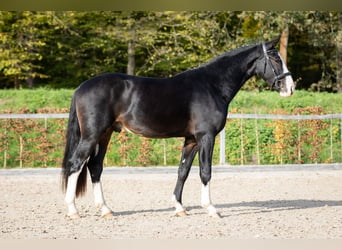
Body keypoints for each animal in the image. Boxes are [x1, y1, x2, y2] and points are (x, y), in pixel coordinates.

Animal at [60, 35, 294, 219]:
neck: (212, 85)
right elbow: (205, 172)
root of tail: (81, 88)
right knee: (75, 164)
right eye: (275, 58)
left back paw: (106, 209)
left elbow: (183, 171)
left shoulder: (191, 140)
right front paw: (211, 209)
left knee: (95, 167)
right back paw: (72, 210)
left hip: (105, 134)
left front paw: (180, 208)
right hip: (92, 135)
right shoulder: (206, 137)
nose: (290, 88)